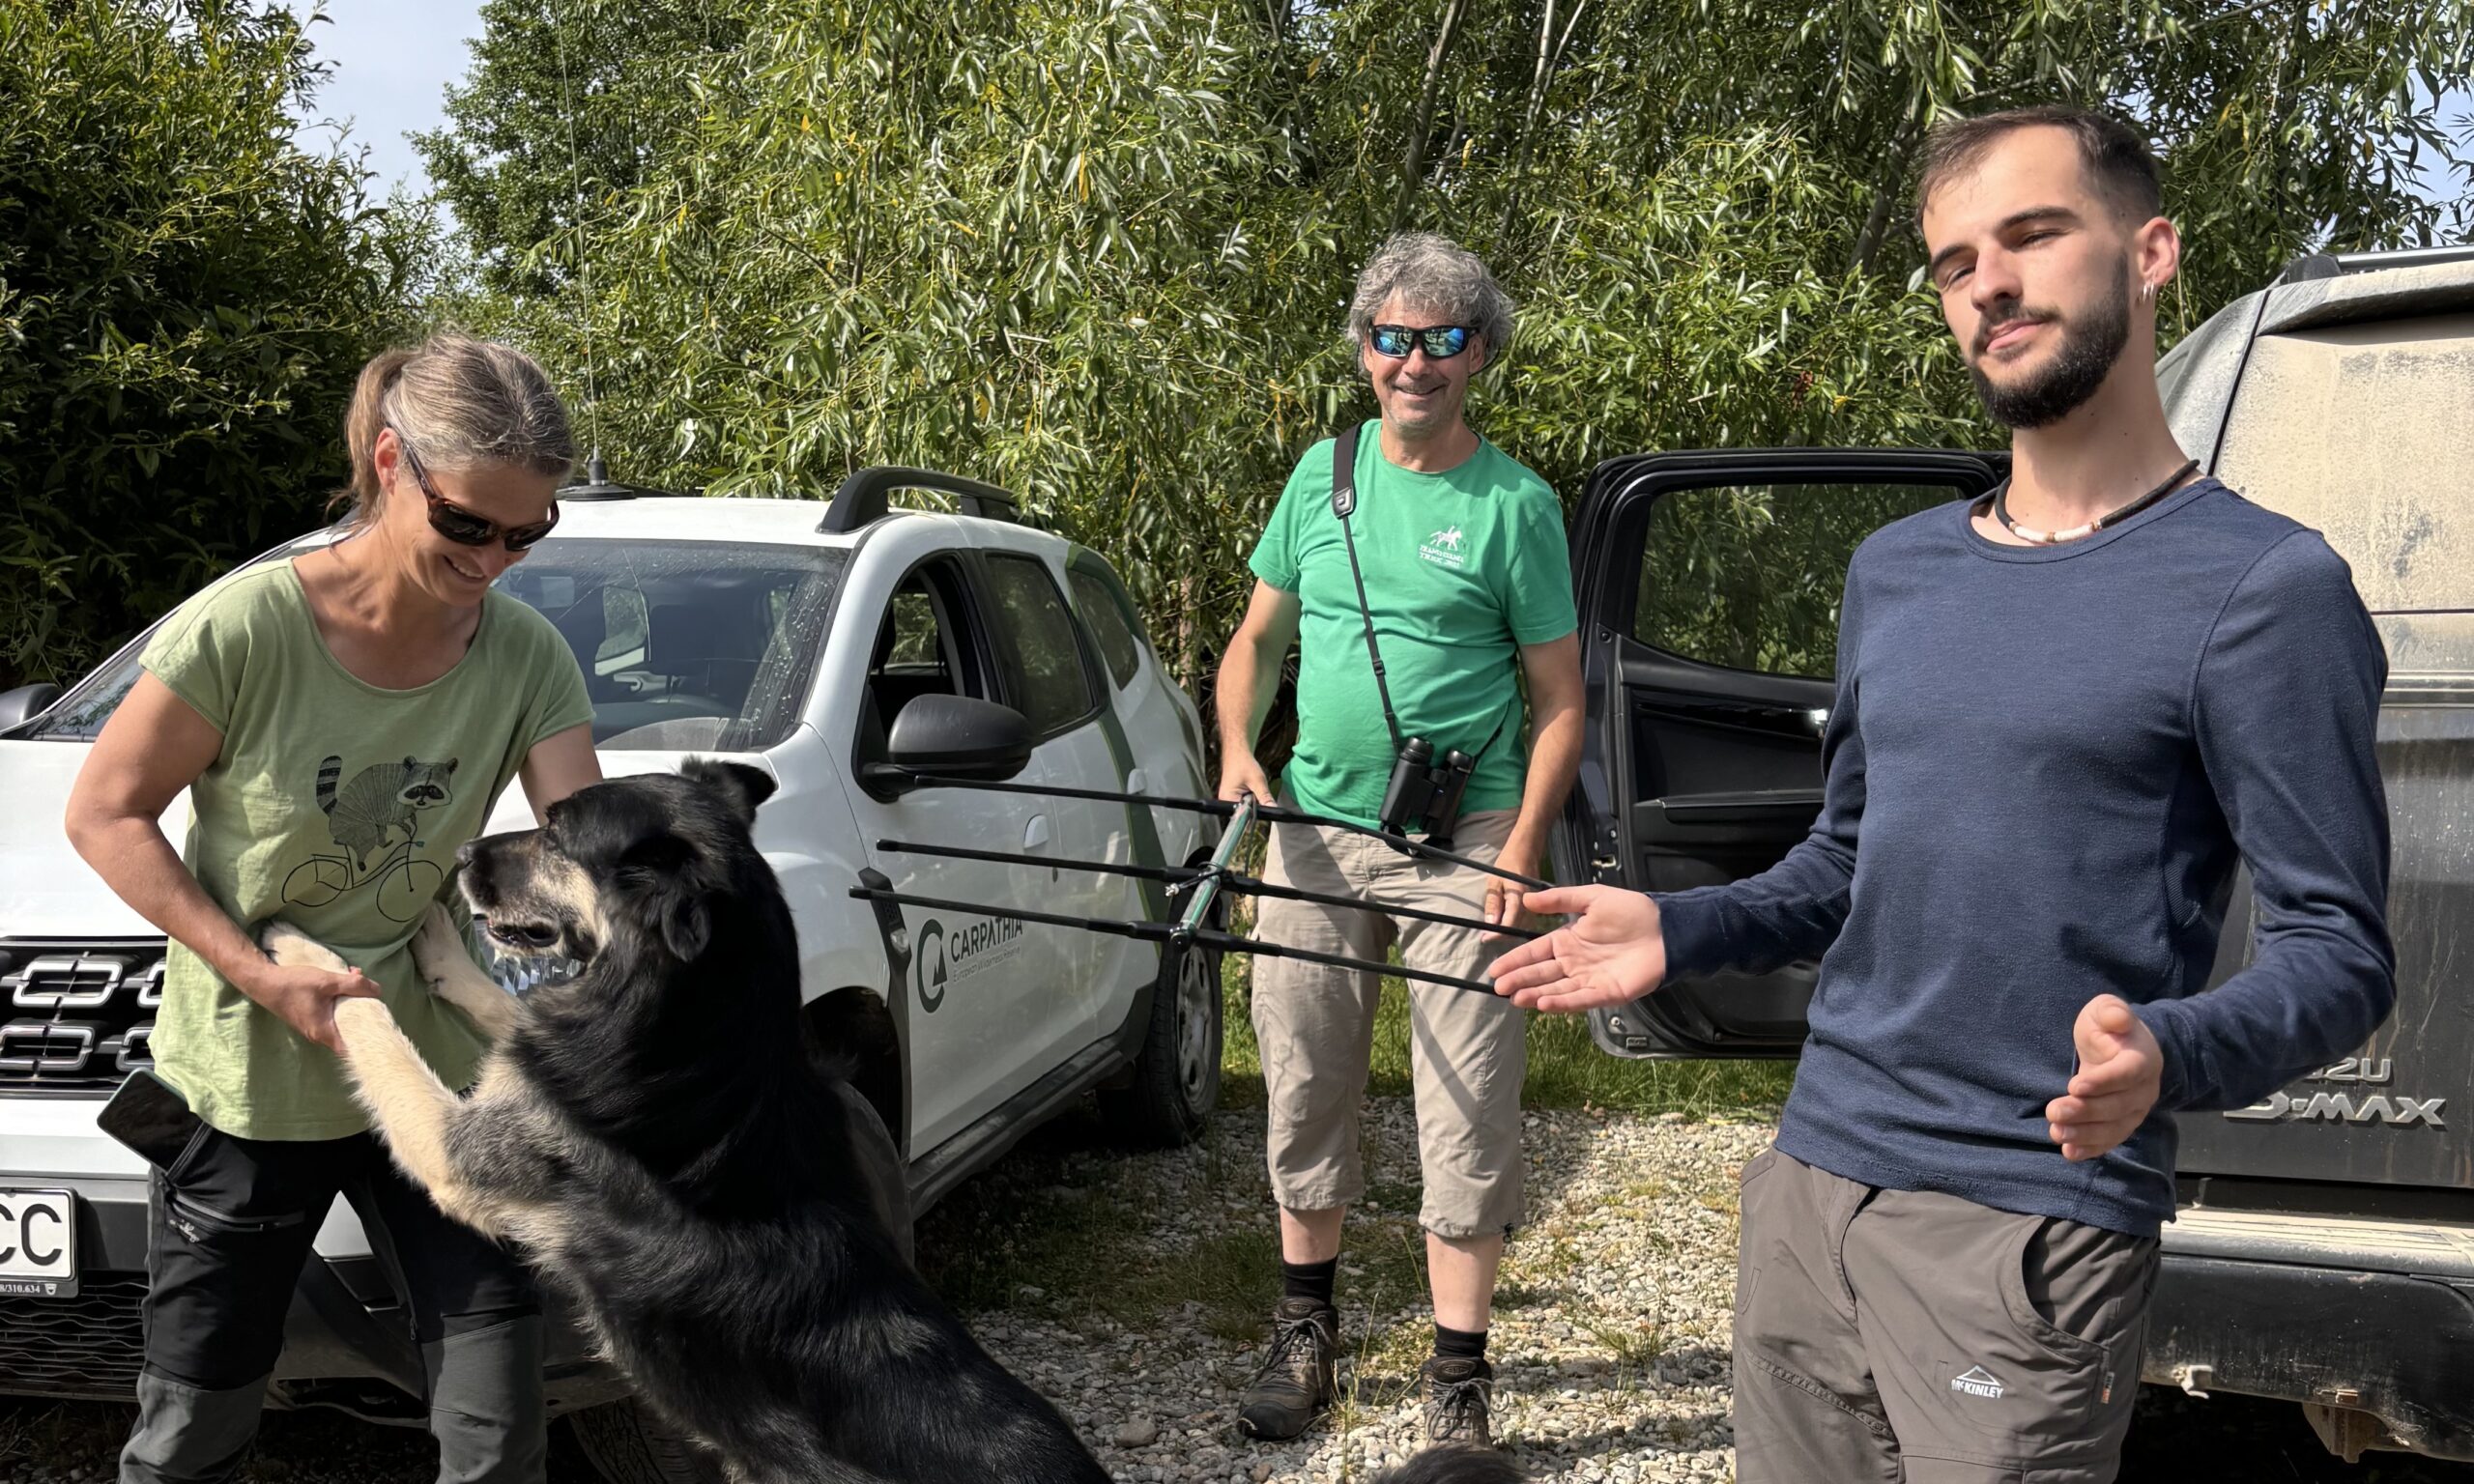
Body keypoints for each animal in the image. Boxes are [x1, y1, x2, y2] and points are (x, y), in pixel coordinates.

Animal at [266, 766, 1504, 1484]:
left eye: (557, 833)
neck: (711, 1049)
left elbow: (380, 1031)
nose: (464, 860)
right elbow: (490, 1013)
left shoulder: (467, 1153)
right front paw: (426, 941)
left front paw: (305, 952)